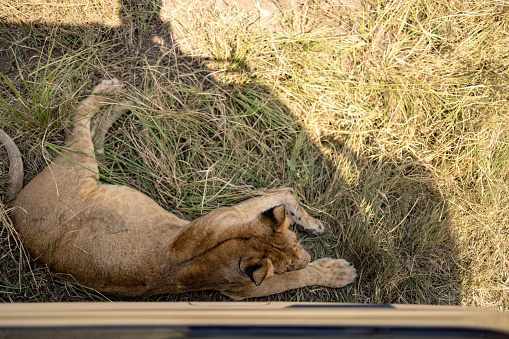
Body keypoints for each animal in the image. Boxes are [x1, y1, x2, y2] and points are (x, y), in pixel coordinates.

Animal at [0, 80, 356, 300]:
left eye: (296, 242)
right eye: (292, 261)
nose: (305, 255)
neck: (232, 244)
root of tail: (13, 208)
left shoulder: (229, 216)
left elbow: (282, 195)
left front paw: (310, 223)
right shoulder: (242, 289)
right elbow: (294, 265)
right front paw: (336, 270)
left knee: (95, 134)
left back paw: (119, 107)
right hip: (79, 163)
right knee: (78, 119)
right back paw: (109, 90)